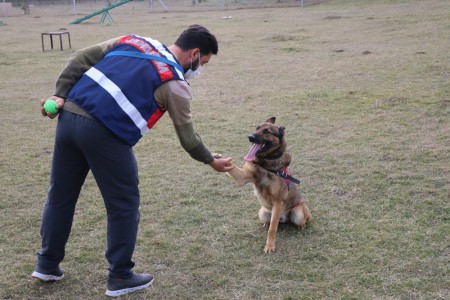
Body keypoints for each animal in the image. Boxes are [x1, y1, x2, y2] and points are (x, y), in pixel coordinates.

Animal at [222, 117, 312, 253]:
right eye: (256, 128)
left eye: (267, 131)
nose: (250, 137)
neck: (265, 163)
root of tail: (283, 218)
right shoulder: (242, 177)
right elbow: (230, 166)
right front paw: (218, 157)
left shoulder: (278, 202)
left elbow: (272, 229)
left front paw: (270, 246)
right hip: (263, 213)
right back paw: (266, 223)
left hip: (298, 213)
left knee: (302, 220)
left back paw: (301, 226)